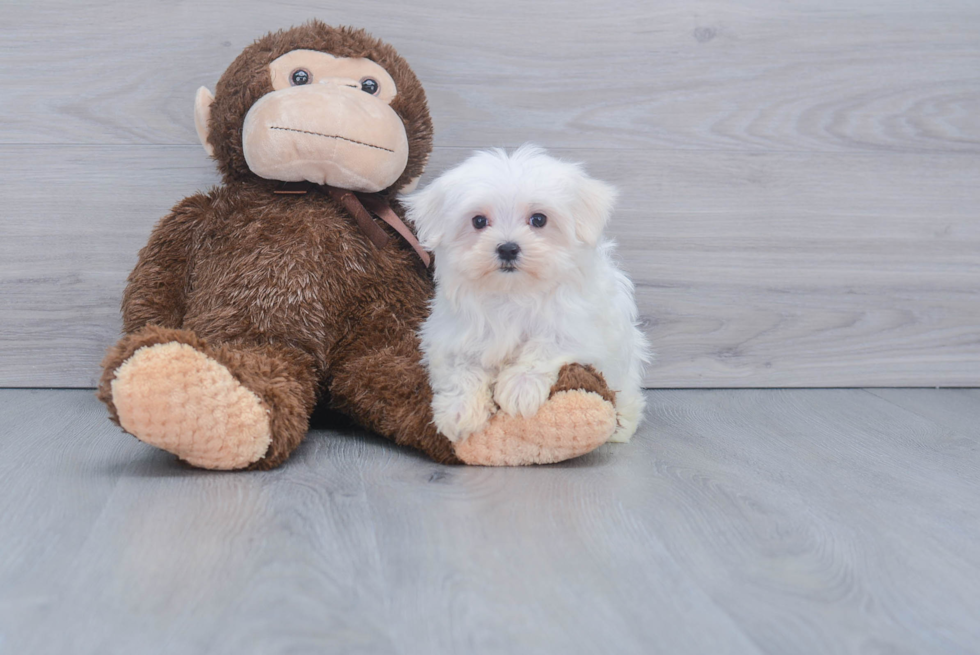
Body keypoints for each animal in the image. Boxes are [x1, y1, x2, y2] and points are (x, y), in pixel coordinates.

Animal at [406, 145, 652, 446]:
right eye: (479, 221)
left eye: (539, 219)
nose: (508, 248)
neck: (514, 293)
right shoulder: (454, 335)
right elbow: (461, 368)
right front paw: (459, 410)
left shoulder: (578, 327)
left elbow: (545, 345)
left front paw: (519, 387)